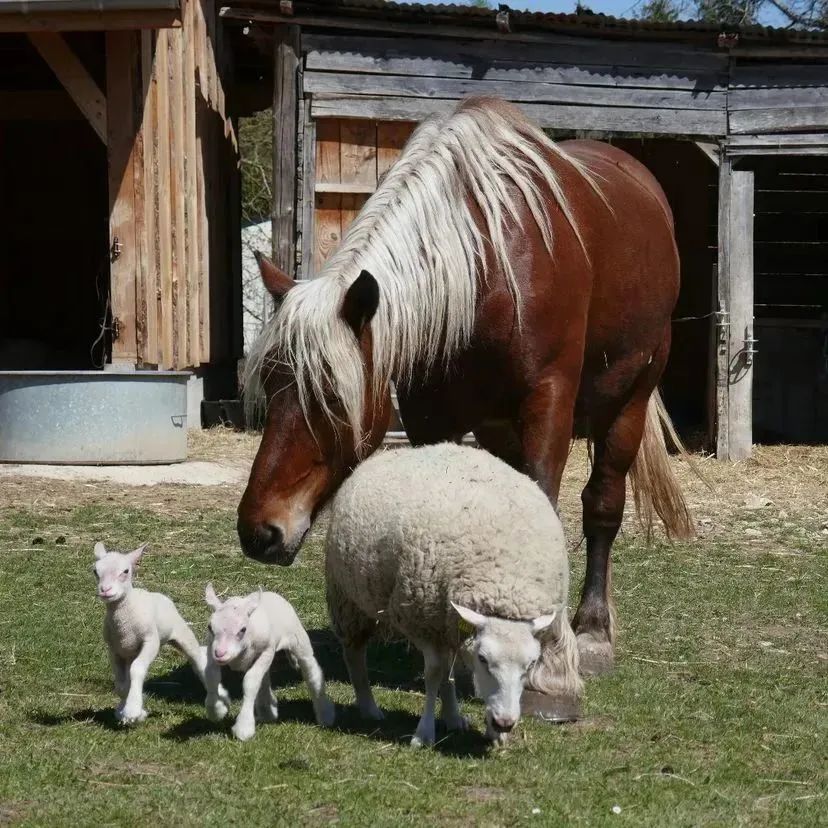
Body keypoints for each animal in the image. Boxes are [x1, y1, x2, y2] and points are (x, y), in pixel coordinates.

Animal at [93, 540, 225, 720]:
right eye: (95, 571)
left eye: (125, 571)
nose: (105, 590)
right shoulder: (114, 650)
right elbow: (121, 685)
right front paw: (126, 710)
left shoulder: (150, 641)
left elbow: (137, 669)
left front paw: (132, 709)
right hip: (129, 652)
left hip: (181, 633)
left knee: (198, 662)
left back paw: (218, 700)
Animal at [202, 584, 334, 740]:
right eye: (210, 627)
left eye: (242, 629)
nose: (220, 653)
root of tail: (272, 594)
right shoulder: (211, 650)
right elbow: (210, 676)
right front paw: (216, 710)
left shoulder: (267, 650)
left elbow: (250, 681)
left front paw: (244, 728)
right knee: (264, 679)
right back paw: (268, 712)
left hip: (298, 639)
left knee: (311, 671)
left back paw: (325, 714)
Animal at [236, 98, 688, 680]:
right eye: (271, 387)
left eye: (331, 398)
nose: (259, 531)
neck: (484, 270)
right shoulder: (431, 415)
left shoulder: (548, 402)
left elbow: (547, 506)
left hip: (630, 400)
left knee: (603, 506)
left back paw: (591, 629)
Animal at [324, 444, 584, 748]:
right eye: (483, 659)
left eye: (530, 664)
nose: (505, 722)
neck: (504, 586)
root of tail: (399, 451)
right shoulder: (422, 621)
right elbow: (434, 673)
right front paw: (424, 734)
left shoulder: (443, 621)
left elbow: (447, 674)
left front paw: (495, 734)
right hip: (349, 599)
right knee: (354, 653)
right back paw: (369, 707)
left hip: (445, 621)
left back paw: (453, 717)